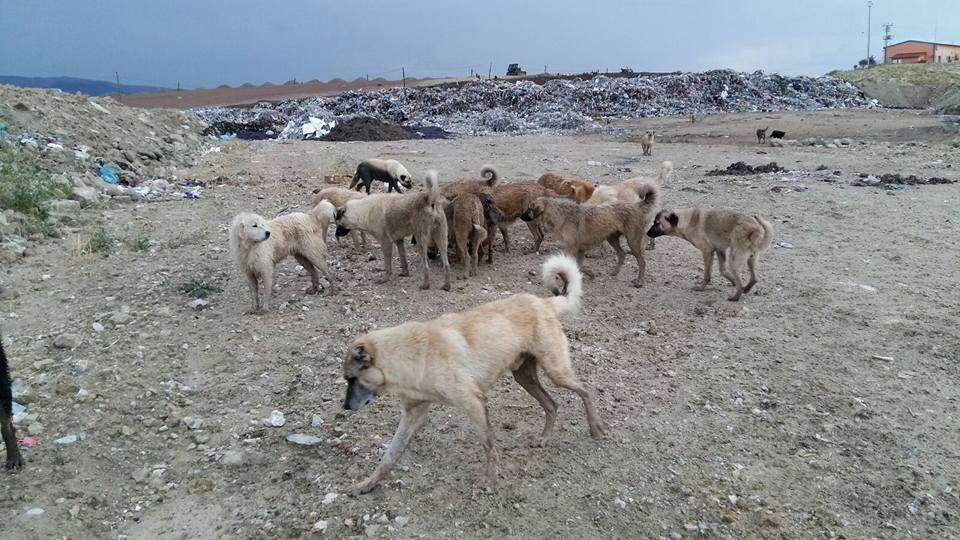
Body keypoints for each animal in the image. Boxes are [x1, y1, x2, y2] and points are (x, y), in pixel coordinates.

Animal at [342, 255, 604, 496]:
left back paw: (595, 428)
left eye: (351, 379)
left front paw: (491, 482)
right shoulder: (412, 414)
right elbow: (389, 455)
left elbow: (488, 444)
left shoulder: (474, 403)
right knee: (552, 405)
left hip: (556, 372)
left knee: (585, 391)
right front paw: (367, 484)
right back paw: (544, 439)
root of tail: (544, 302)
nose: (344, 407)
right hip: (524, 377)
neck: (411, 354)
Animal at [516, 184, 660, 286]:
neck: (561, 215)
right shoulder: (580, 250)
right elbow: (579, 265)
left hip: (632, 242)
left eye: (529, 208)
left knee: (641, 262)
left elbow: (572, 266)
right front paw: (591, 274)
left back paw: (639, 281)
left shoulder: (571, 249)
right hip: (612, 238)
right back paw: (614, 272)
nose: (520, 216)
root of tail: (636, 205)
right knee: (622, 254)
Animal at [644, 207, 772, 302]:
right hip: (751, 259)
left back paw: (735, 296)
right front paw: (732, 281)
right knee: (754, 278)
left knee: (741, 282)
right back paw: (746, 288)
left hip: (734, 260)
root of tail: (756, 229)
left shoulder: (707, 252)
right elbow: (722, 270)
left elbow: (707, 274)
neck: (687, 221)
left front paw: (701, 288)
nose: (647, 233)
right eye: (654, 222)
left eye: (657, 223)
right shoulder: (719, 250)